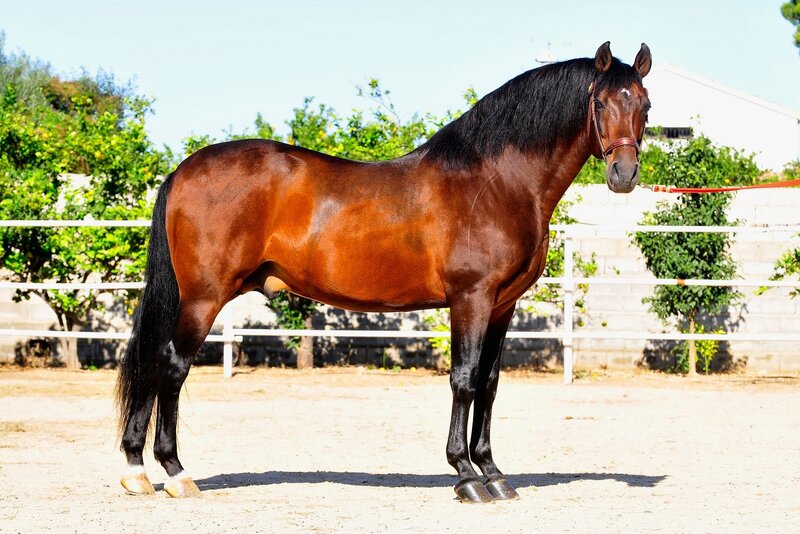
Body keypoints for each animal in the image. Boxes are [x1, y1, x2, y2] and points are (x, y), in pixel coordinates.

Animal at [117, 41, 652, 503]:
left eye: (645, 105)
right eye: (600, 103)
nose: (623, 174)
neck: (496, 181)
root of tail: (183, 170)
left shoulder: (503, 304)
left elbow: (489, 385)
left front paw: (494, 474)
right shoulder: (471, 299)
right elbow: (463, 380)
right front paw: (465, 476)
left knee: (153, 364)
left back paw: (136, 471)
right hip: (203, 298)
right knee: (171, 366)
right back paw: (175, 473)